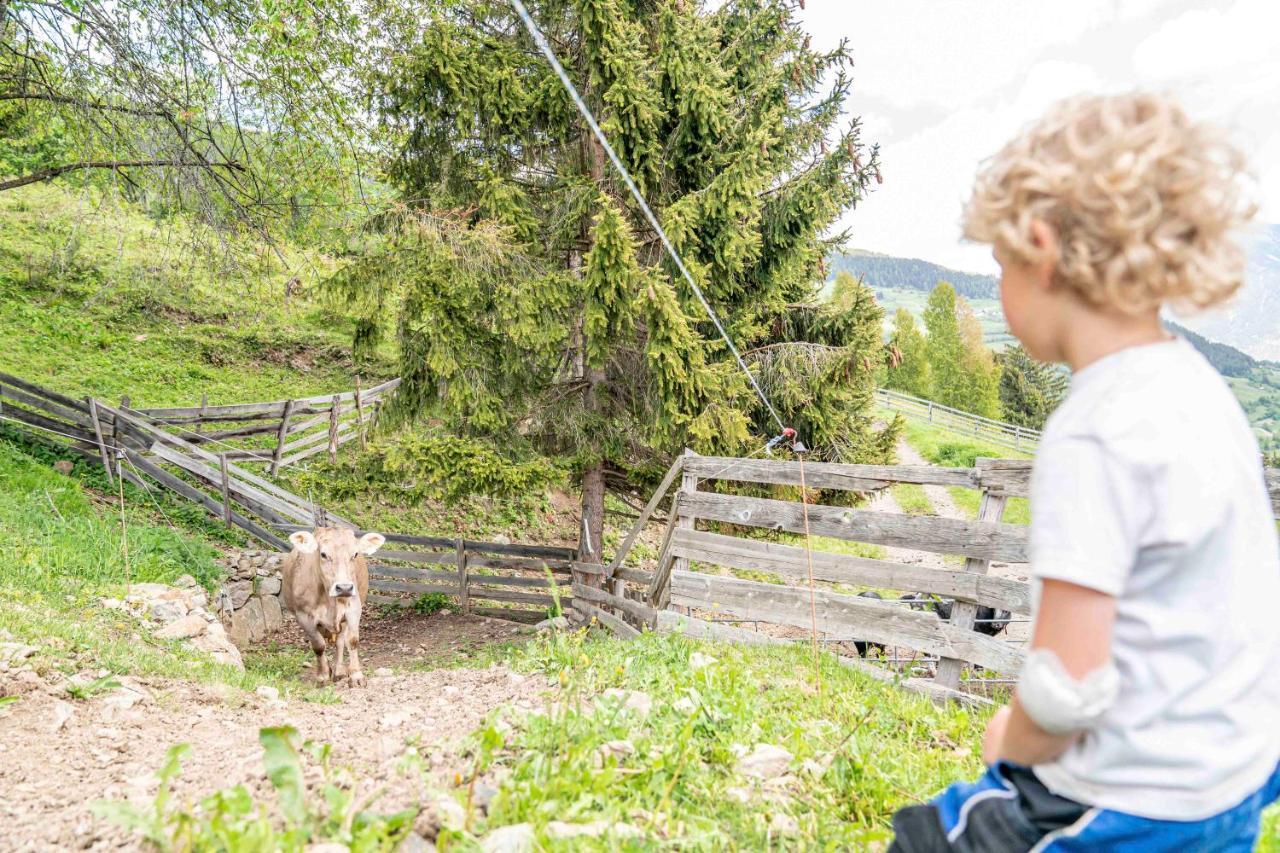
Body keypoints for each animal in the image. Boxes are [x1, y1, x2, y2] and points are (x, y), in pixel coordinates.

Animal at [279, 525, 381, 686]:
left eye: (355, 554)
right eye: (323, 554)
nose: (344, 587)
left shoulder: (354, 609)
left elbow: (352, 641)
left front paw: (356, 676)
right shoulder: (303, 616)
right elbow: (318, 645)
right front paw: (322, 675)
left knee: (340, 642)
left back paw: (339, 671)